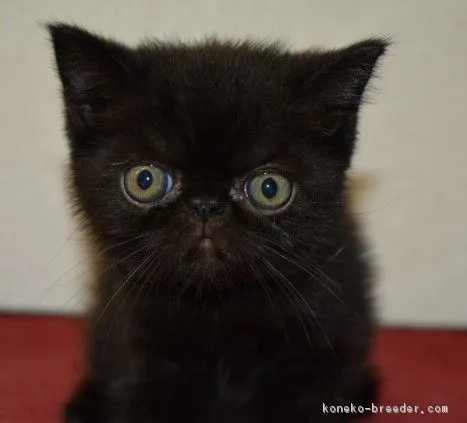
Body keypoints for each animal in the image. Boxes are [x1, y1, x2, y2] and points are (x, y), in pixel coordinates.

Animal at [49, 24, 390, 423]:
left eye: (270, 188)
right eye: (145, 180)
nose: (206, 206)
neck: (216, 308)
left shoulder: (316, 353)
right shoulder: (135, 345)